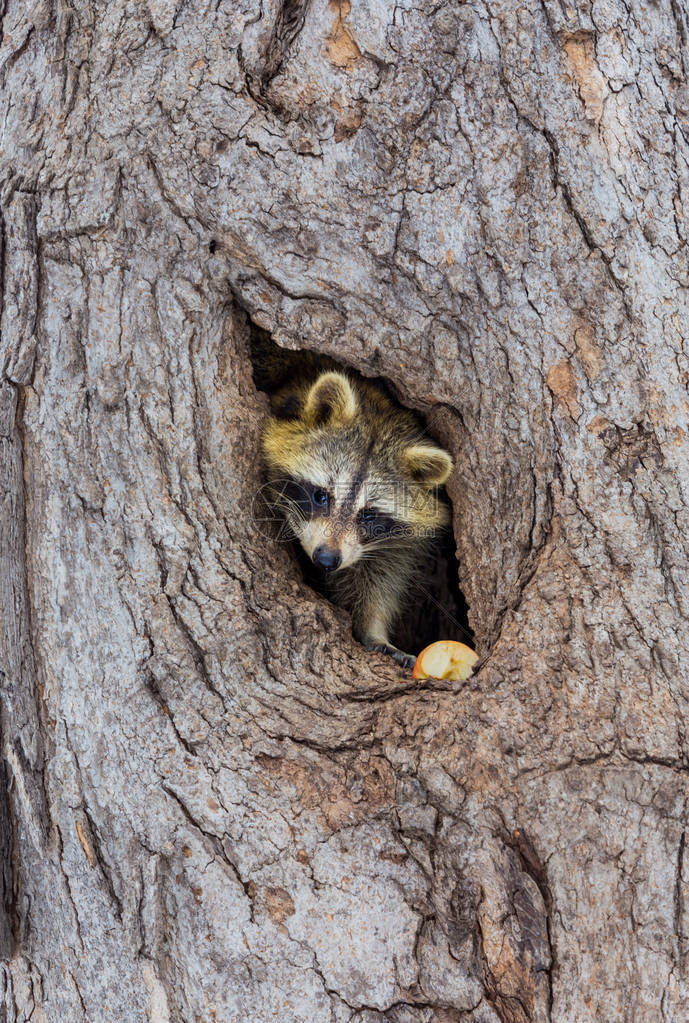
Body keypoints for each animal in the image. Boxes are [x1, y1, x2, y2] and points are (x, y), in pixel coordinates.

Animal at [260, 364, 453, 666]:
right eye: (320, 496)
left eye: (369, 515)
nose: (326, 559)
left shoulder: (397, 543)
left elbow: (380, 577)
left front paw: (373, 629)